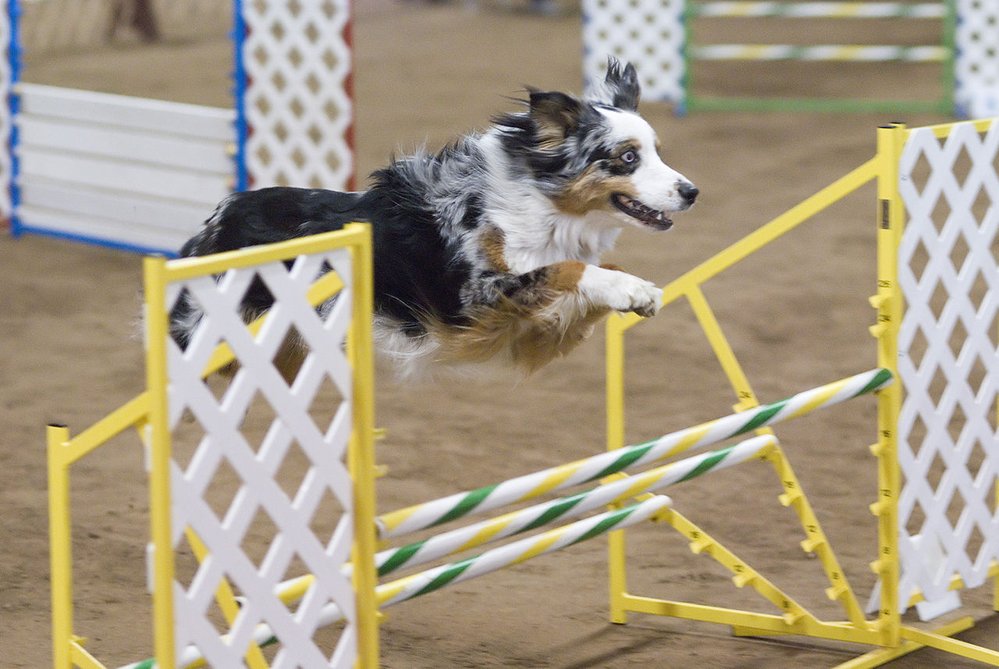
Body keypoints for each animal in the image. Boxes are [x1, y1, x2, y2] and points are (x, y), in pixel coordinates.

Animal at [172, 58, 700, 378]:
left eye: (656, 152)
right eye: (627, 157)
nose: (692, 192)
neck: (539, 206)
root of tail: (217, 217)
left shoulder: (528, 337)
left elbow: (588, 271)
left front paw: (634, 291)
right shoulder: (477, 299)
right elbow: (568, 269)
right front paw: (632, 288)